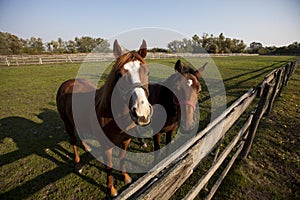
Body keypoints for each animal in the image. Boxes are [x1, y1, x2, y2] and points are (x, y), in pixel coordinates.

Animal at [55, 39, 152, 197]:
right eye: (119, 74)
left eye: (147, 72)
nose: (141, 112)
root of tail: (66, 83)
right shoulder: (106, 146)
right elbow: (109, 167)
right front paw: (111, 189)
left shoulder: (125, 141)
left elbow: (122, 158)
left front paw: (126, 177)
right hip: (67, 123)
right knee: (73, 141)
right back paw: (77, 163)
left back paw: (87, 148)